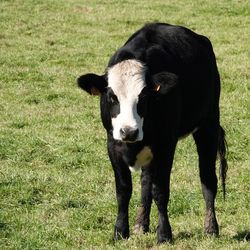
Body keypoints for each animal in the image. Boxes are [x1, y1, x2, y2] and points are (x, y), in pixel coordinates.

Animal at [77, 22, 228, 243]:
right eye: (112, 96)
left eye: (144, 96)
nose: (129, 131)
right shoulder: (112, 144)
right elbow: (124, 190)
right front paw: (120, 231)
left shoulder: (166, 144)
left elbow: (161, 190)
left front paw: (164, 234)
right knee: (146, 182)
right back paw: (141, 223)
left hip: (208, 124)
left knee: (208, 179)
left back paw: (211, 228)